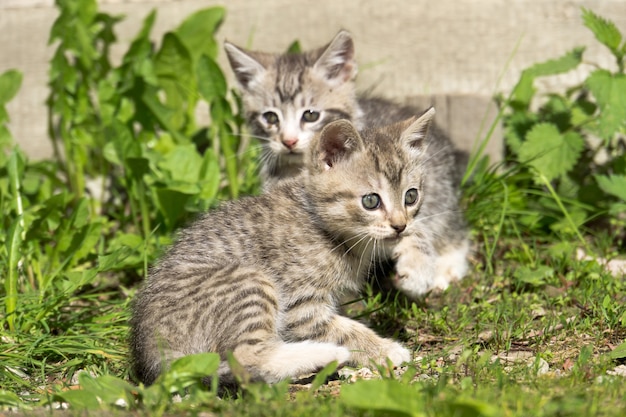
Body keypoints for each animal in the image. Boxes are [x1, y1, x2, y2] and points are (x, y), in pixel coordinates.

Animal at [128, 112, 448, 386]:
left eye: (411, 196)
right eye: (371, 201)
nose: (399, 225)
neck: (323, 225)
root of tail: (152, 356)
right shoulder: (300, 303)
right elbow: (342, 330)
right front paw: (384, 348)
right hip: (249, 280)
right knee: (247, 357)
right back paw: (325, 354)